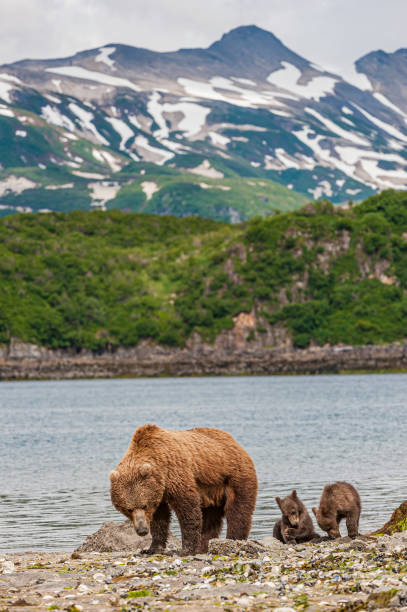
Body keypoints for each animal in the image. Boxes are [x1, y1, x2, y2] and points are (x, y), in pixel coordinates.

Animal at [110, 426, 258, 556]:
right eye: (128, 509)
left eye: (144, 506)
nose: (142, 530)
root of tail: (236, 443)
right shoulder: (158, 493)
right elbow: (160, 519)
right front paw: (151, 548)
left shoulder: (176, 473)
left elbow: (187, 509)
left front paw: (185, 549)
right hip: (211, 492)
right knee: (210, 517)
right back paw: (204, 546)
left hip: (235, 477)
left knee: (238, 511)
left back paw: (232, 540)